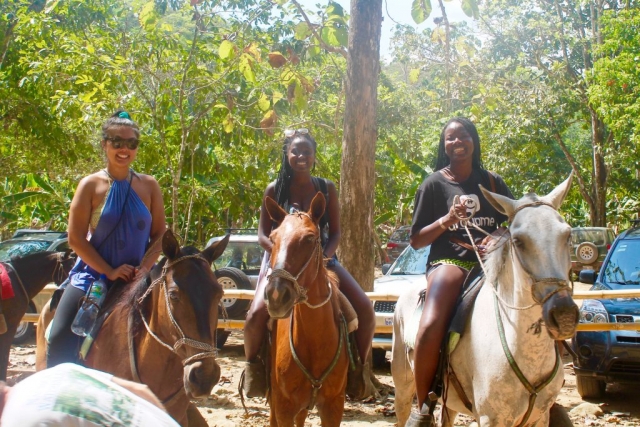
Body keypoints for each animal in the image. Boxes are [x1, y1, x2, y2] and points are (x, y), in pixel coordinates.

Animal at [390, 176, 580, 426]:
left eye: (567, 235)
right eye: (518, 241)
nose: (564, 315)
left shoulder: (540, 417)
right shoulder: (490, 417)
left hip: (449, 400)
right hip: (403, 385)